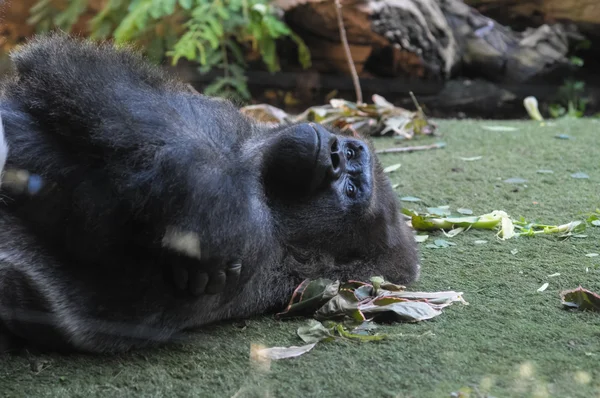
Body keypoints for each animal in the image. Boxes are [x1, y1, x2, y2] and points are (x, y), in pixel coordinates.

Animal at [0, 32, 420, 352]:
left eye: (349, 188)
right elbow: (75, 73)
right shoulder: (227, 118)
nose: (333, 155)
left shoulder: (256, 240)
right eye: (349, 155)